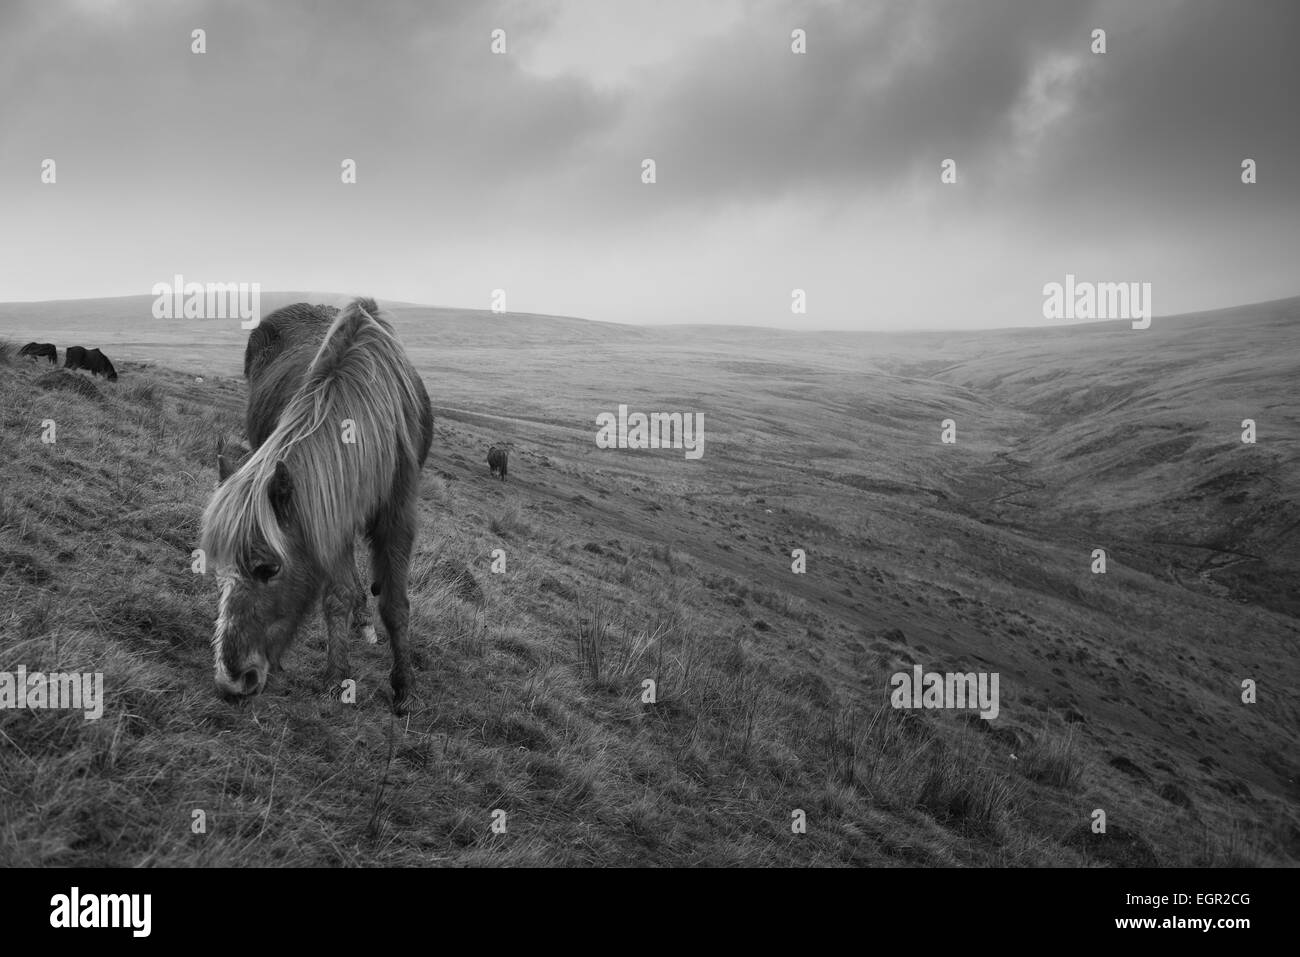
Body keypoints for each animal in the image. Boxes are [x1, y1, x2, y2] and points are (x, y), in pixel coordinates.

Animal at [198, 299, 431, 712]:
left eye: (268, 569)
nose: (232, 682)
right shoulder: (328, 515)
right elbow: (337, 597)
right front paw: (336, 676)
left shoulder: (397, 517)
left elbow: (395, 604)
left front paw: (405, 687)